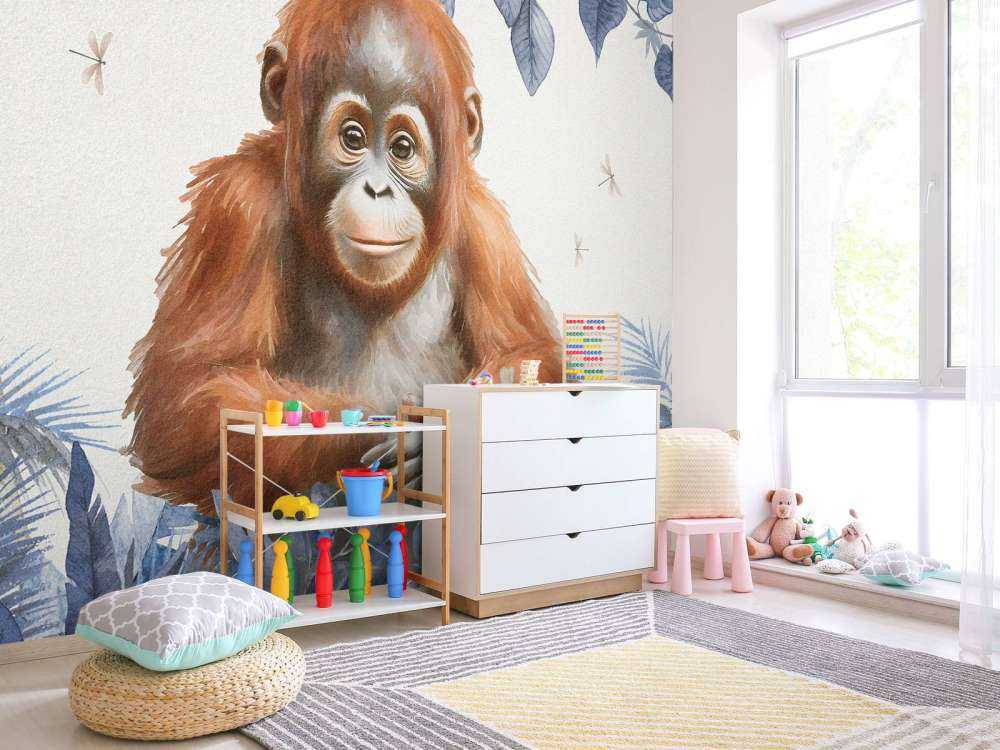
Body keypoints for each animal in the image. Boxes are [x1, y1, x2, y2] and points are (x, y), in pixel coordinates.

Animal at [124, 0, 562, 512]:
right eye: (352, 138)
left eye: (402, 147)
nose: (377, 188)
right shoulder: (237, 206)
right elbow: (189, 396)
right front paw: (405, 430)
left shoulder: (486, 229)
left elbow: (527, 352)